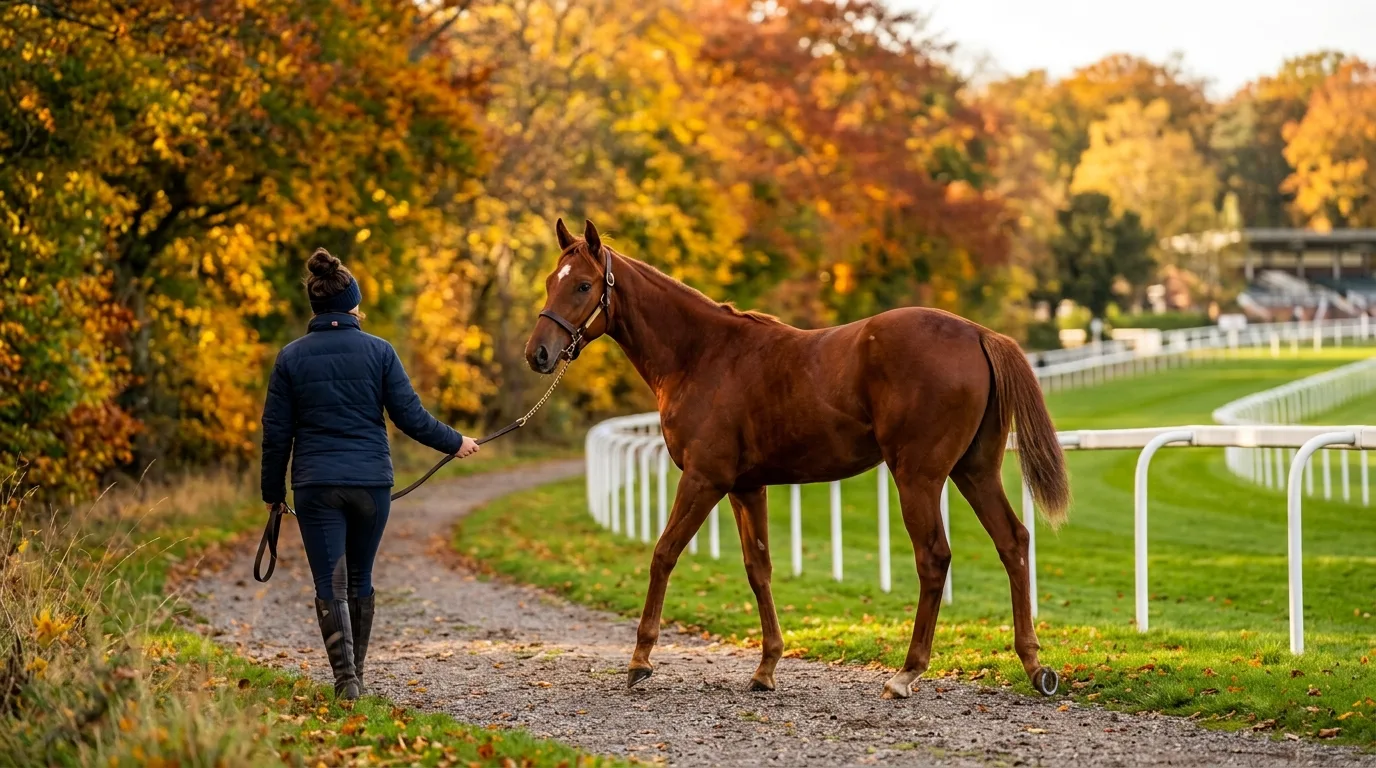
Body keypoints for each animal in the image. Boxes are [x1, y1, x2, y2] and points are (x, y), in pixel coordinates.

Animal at [524, 218, 1070, 699]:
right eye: (552, 281)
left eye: (583, 285)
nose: (539, 354)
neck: (702, 354)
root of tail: (978, 333)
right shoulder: (746, 486)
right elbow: (758, 568)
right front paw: (766, 667)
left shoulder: (703, 480)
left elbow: (664, 554)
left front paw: (640, 661)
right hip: (974, 472)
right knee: (1013, 542)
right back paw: (1033, 664)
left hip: (919, 478)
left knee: (934, 558)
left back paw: (906, 673)